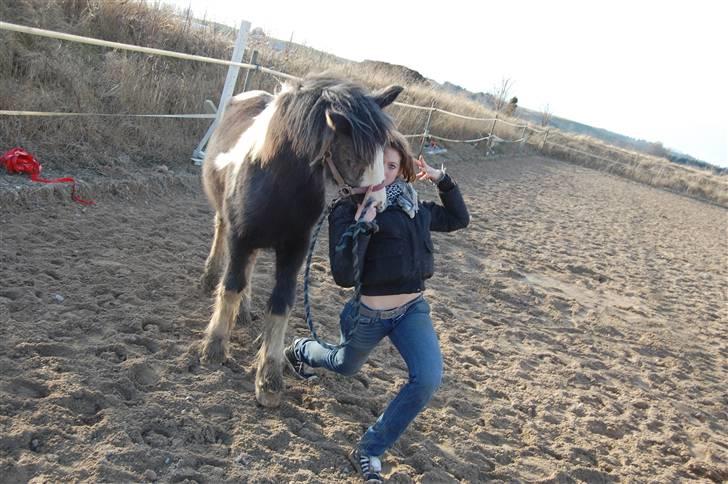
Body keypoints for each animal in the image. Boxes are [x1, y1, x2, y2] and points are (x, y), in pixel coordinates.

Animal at [199, 73, 404, 406]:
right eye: (353, 153)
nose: (378, 203)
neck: (276, 181)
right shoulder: (241, 238)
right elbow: (230, 287)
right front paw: (214, 347)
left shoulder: (294, 250)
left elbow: (281, 303)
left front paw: (269, 379)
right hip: (227, 220)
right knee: (222, 238)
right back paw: (209, 279)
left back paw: (244, 312)